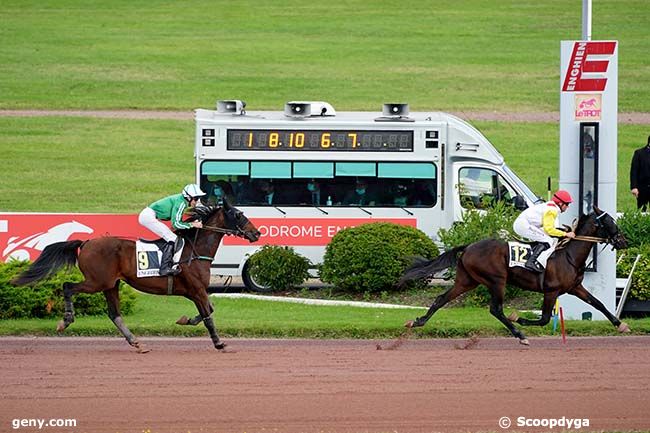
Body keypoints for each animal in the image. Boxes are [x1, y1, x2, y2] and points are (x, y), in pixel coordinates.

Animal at [11, 199, 260, 352]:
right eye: (238, 214)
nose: (256, 233)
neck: (195, 250)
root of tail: (87, 242)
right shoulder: (197, 290)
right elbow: (208, 316)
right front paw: (219, 343)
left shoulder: (194, 292)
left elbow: (209, 310)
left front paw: (184, 320)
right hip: (96, 282)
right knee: (67, 286)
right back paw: (66, 320)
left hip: (111, 284)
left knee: (114, 313)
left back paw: (135, 342)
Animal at [394, 208, 628, 346]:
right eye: (610, 221)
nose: (623, 241)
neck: (568, 255)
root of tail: (468, 246)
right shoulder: (551, 290)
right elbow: (544, 318)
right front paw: (521, 319)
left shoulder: (574, 288)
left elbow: (598, 303)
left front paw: (620, 324)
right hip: (497, 280)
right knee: (496, 309)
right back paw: (519, 334)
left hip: (466, 281)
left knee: (441, 299)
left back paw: (418, 321)